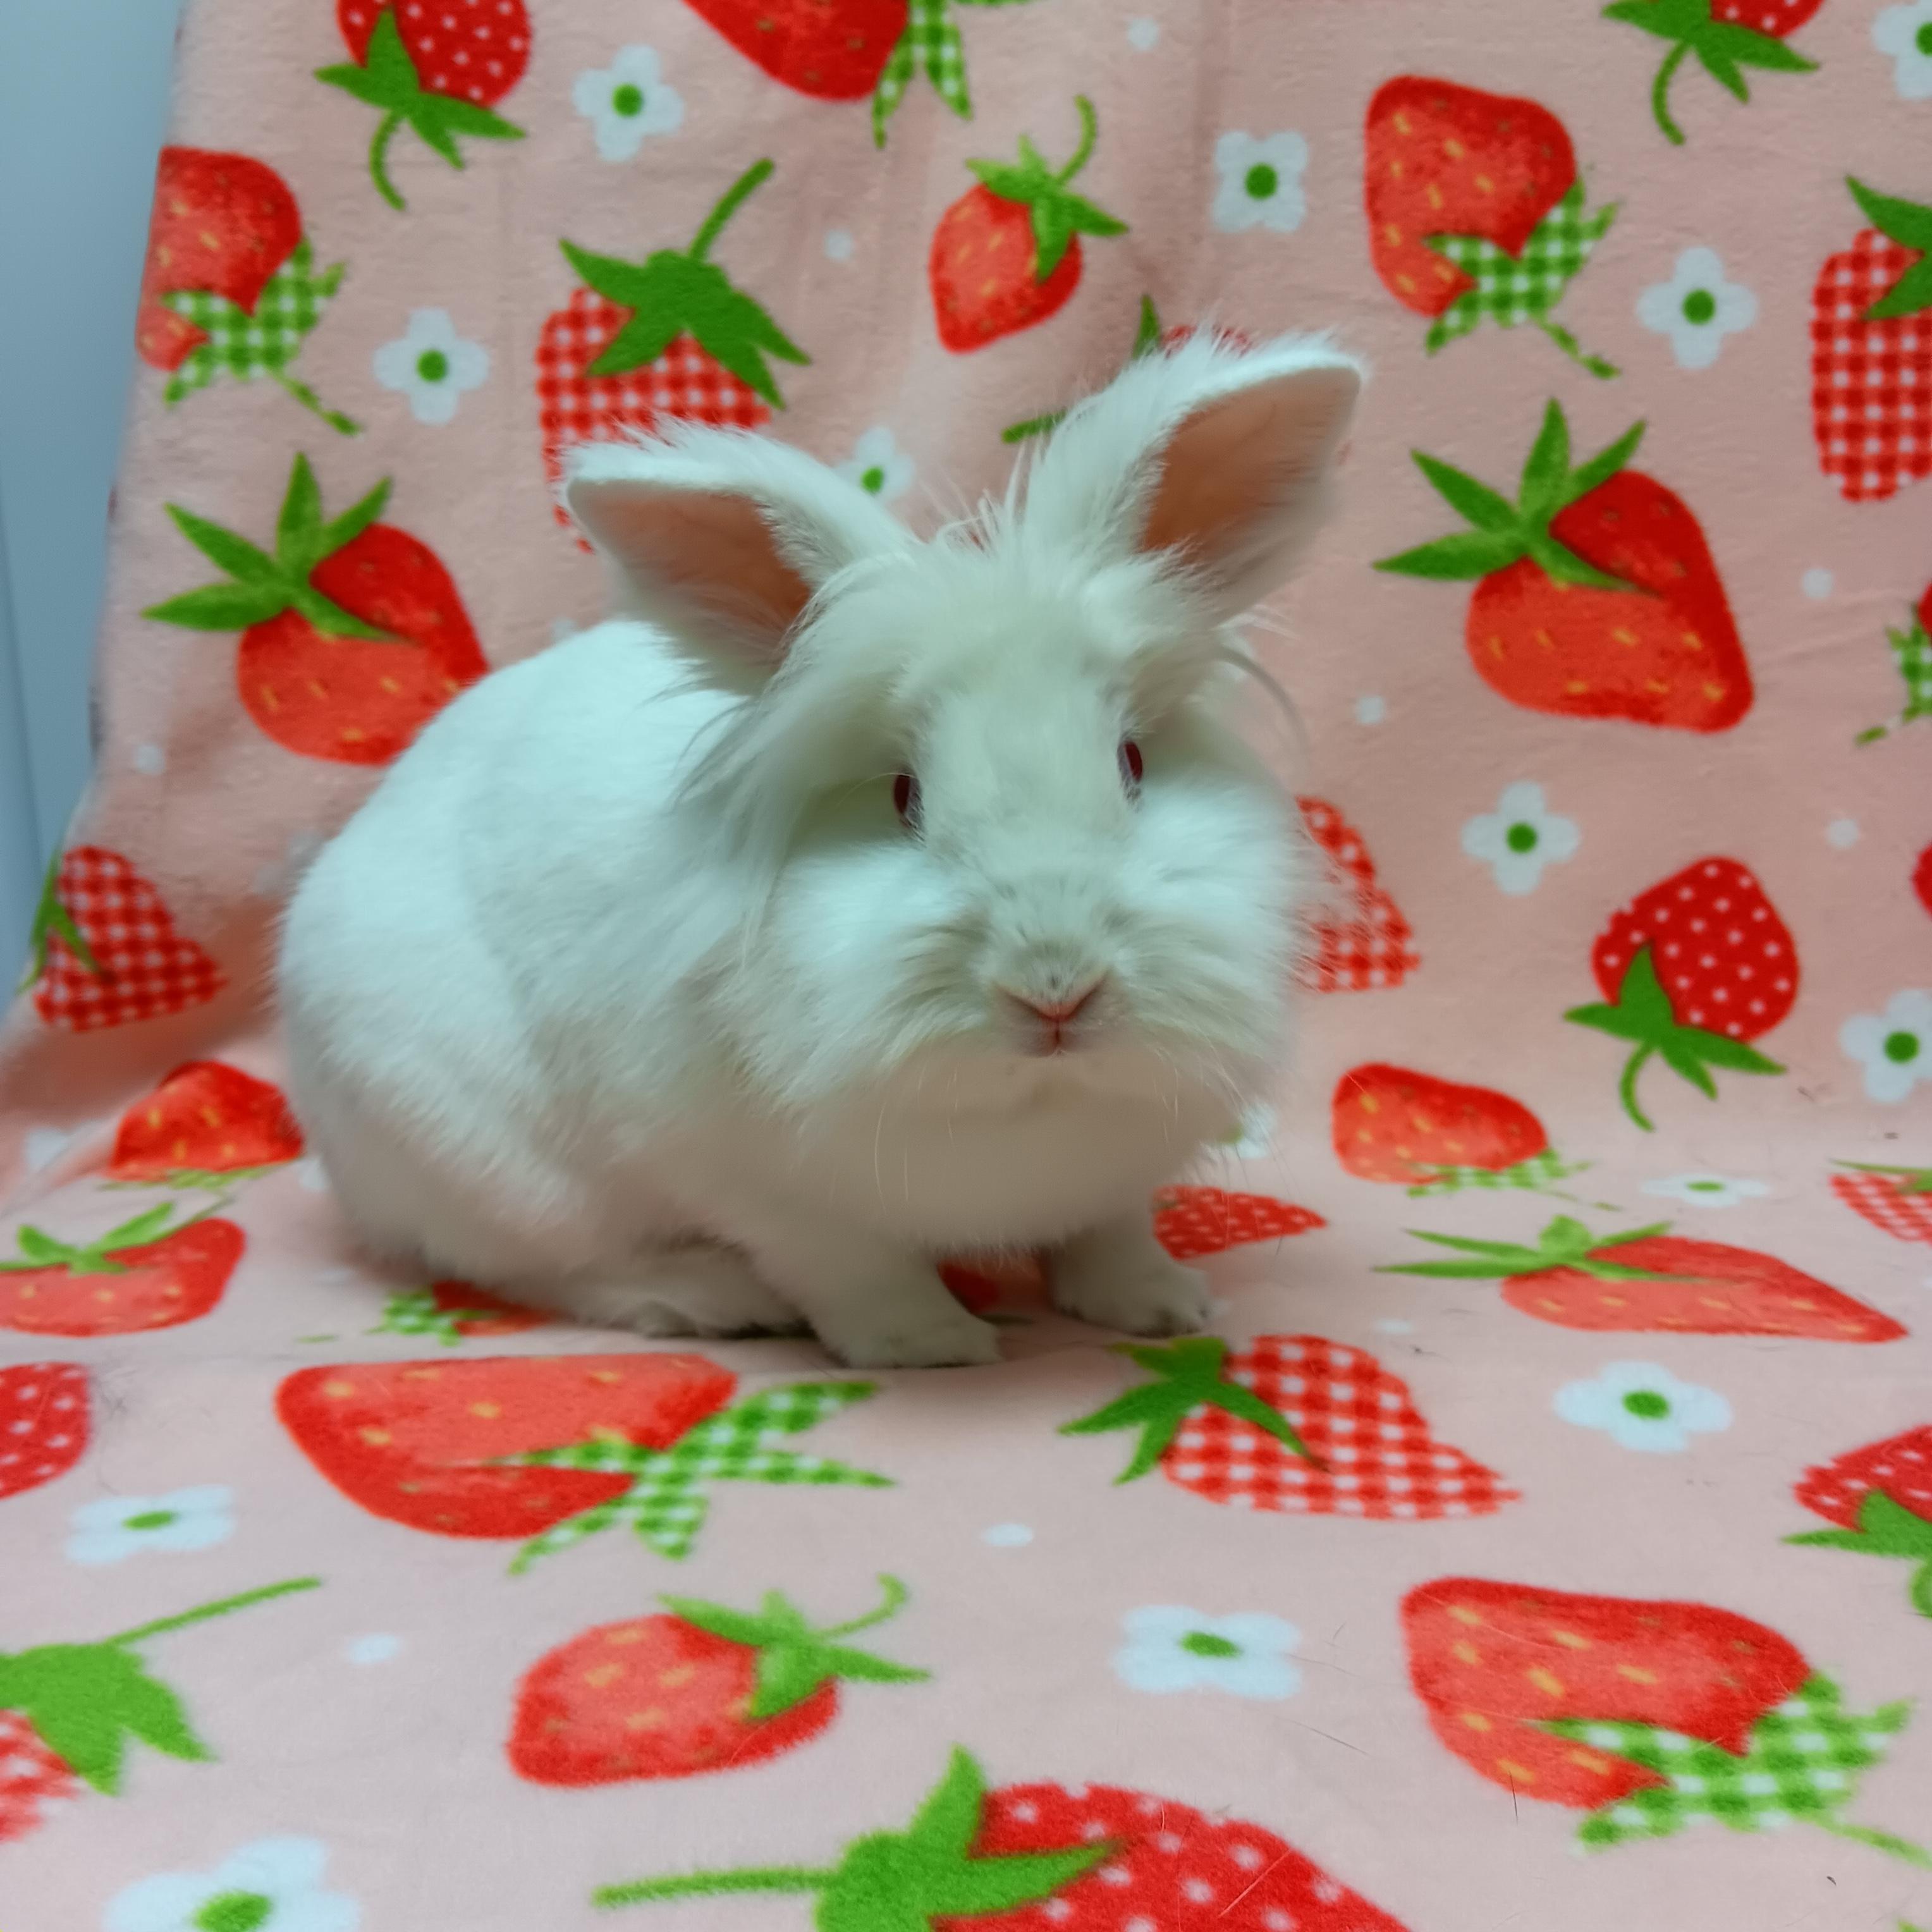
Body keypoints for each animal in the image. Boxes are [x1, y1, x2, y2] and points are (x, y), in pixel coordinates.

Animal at [277, 330, 1362, 1368]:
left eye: (1134, 762)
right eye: (903, 795)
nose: (1054, 987)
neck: (1030, 1100)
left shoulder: (1119, 1172)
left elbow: (1110, 1234)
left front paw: (1162, 1306)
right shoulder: (764, 1188)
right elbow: (854, 1270)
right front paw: (930, 1347)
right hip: (490, 1166)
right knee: (550, 1267)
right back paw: (710, 1300)